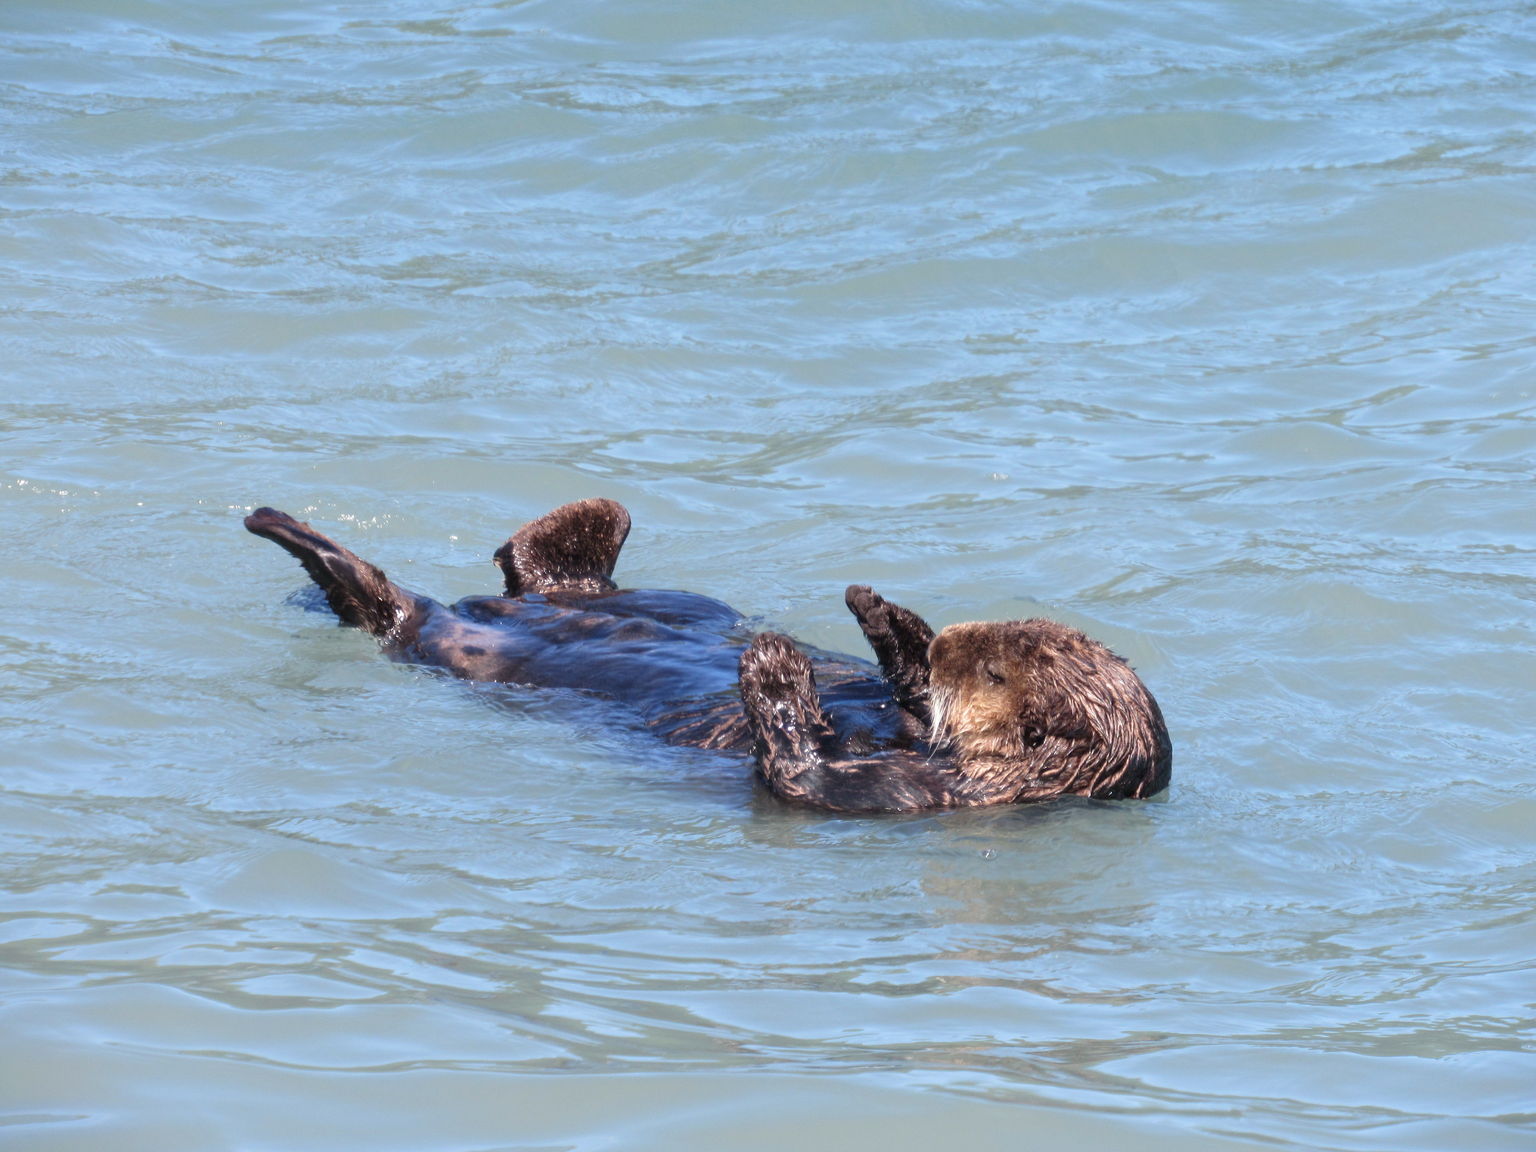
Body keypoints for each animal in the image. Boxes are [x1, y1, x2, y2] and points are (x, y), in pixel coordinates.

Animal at [245, 499, 1171, 813]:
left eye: (994, 670)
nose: (948, 643)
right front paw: (884, 619)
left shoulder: (927, 795)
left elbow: (798, 776)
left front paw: (773, 664)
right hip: (612, 595)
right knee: (536, 561)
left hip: (442, 641)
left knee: (392, 612)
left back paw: (296, 540)